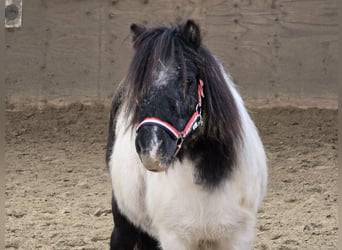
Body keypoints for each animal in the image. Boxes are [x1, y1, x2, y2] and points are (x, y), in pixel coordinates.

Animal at [106, 20, 268, 250]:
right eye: (138, 86)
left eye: (189, 80)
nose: (151, 149)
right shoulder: (175, 237)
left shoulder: (237, 236)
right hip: (123, 219)